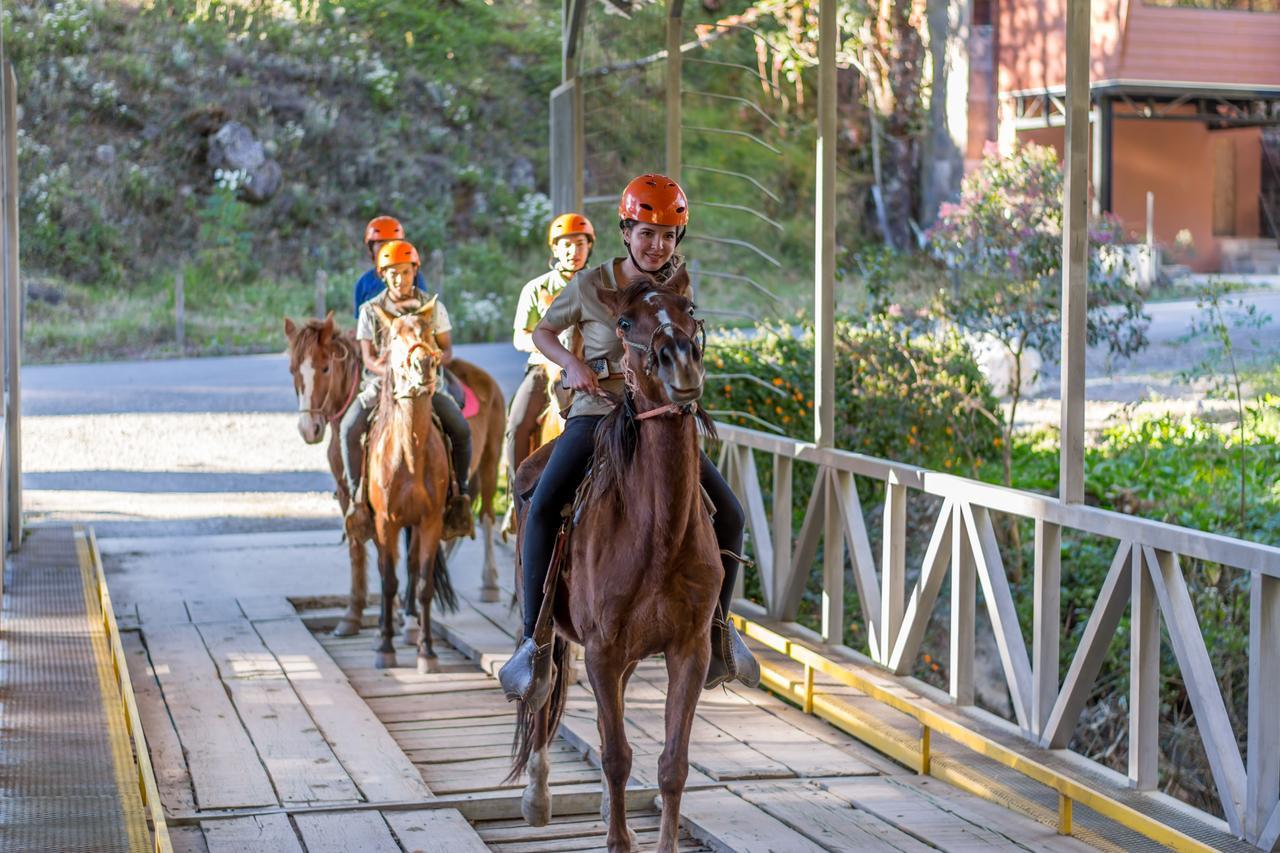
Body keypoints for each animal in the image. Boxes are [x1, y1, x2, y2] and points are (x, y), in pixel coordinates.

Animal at [363, 298, 458, 671]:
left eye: (428, 333)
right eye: (395, 338)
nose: (424, 364)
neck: (410, 457)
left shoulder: (430, 522)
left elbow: (424, 585)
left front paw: (427, 652)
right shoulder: (385, 522)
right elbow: (388, 581)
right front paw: (384, 648)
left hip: (415, 525)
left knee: (414, 566)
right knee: (383, 570)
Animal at [506, 272, 716, 850]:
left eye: (690, 308)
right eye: (624, 322)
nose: (681, 362)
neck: (658, 535)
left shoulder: (690, 649)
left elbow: (672, 764)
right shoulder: (601, 650)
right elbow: (616, 755)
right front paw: (618, 839)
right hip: (551, 627)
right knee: (543, 688)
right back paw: (537, 799)